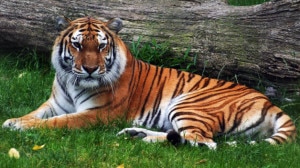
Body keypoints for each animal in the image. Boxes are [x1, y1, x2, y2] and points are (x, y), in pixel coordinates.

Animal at [2, 16, 296, 149]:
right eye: (76, 45)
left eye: (101, 46)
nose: (90, 69)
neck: (73, 83)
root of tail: (269, 101)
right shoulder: (55, 103)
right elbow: (35, 113)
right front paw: (13, 120)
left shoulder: (97, 114)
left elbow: (57, 122)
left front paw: (23, 127)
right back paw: (137, 134)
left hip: (188, 104)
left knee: (204, 142)